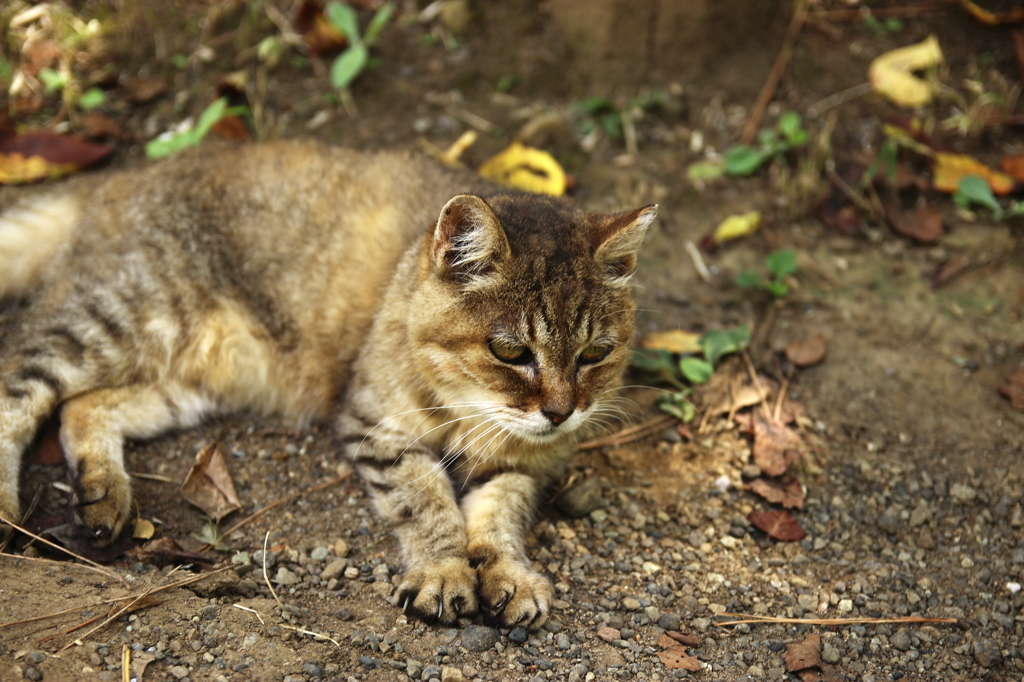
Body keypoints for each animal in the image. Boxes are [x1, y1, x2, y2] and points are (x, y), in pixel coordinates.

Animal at [0, 139, 655, 626]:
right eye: (511, 351)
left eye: (596, 353)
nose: (562, 411)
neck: (470, 411)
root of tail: (129, 174)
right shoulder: (375, 425)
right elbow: (426, 502)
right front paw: (444, 571)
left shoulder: (526, 464)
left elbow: (498, 516)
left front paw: (510, 575)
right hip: (115, 321)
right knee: (19, 385)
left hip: (197, 375)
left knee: (83, 406)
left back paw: (103, 494)